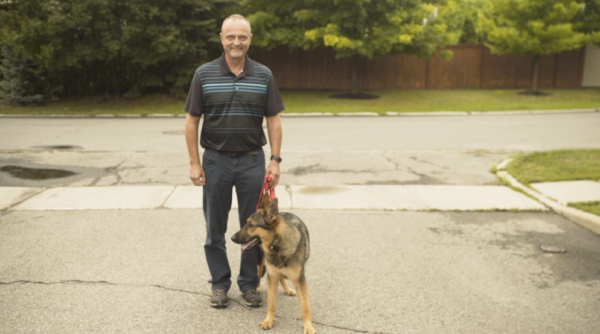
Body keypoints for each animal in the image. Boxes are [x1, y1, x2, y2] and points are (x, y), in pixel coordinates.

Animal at [230, 196, 316, 334]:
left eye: (251, 225)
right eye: (247, 223)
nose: (232, 238)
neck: (276, 244)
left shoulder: (300, 281)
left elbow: (305, 307)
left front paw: (308, 326)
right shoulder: (271, 277)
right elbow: (271, 304)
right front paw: (269, 321)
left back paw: (287, 289)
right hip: (262, 265)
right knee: (260, 274)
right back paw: (257, 288)